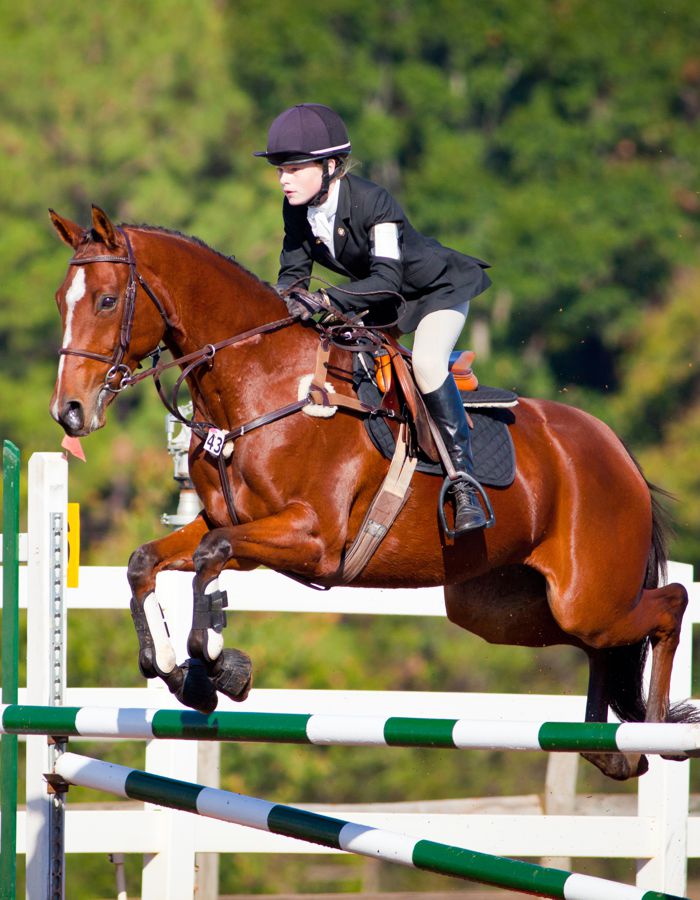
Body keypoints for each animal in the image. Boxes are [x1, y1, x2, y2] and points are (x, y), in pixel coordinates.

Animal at [49, 205, 696, 781]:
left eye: (107, 300)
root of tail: (617, 451)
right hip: (506, 609)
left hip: (587, 597)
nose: (69, 412)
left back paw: (657, 731)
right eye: (61, 301)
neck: (263, 384)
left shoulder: (312, 539)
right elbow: (147, 562)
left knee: (670, 603)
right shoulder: (229, 523)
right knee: (602, 647)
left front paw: (218, 667)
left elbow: (212, 559)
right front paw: (177, 670)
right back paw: (609, 751)